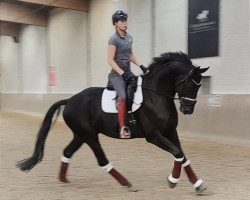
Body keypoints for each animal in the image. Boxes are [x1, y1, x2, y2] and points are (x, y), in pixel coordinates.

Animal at [16, 52, 209, 193]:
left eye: (200, 86)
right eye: (190, 84)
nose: (187, 109)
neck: (156, 96)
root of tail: (70, 100)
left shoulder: (170, 131)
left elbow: (182, 155)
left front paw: (195, 183)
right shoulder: (154, 136)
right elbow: (177, 152)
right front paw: (174, 180)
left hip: (80, 135)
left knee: (67, 152)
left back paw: (63, 179)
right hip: (90, 135)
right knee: (102, 160)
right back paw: (127, 183)